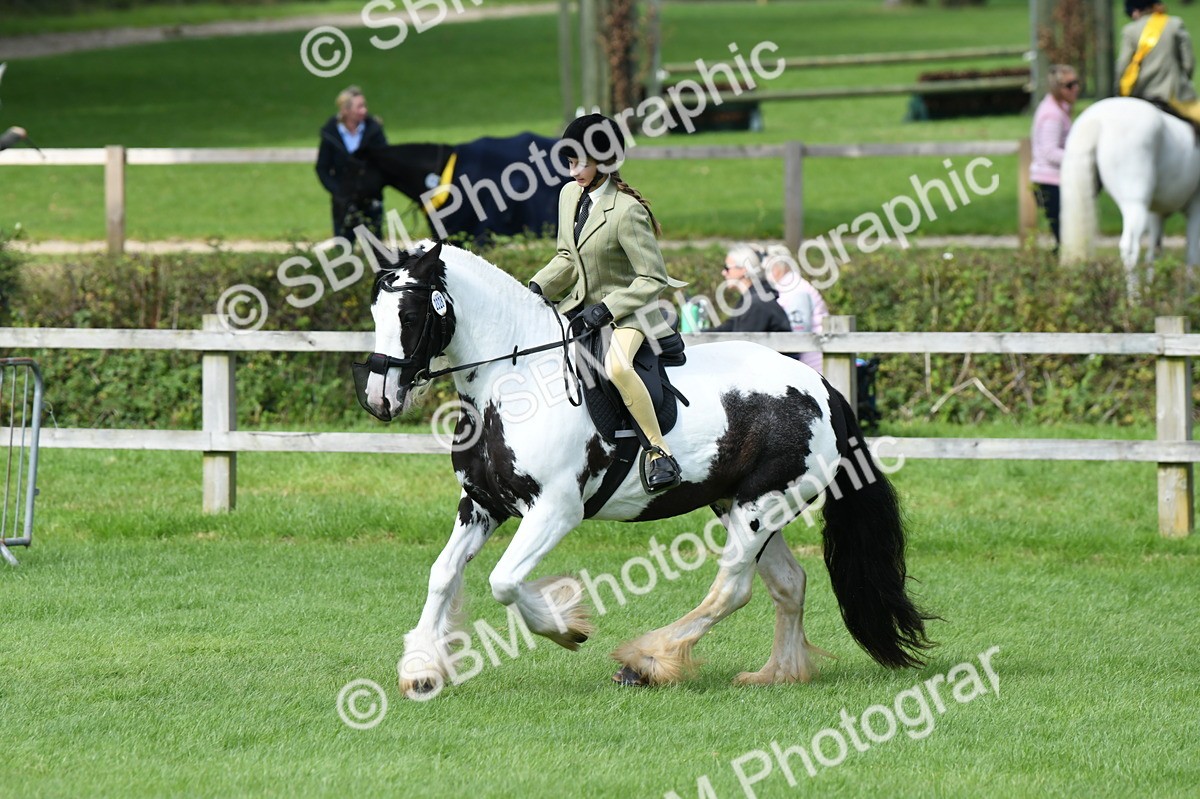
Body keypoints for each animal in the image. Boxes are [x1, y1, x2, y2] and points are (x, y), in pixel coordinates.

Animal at [355, 241, 934, 696]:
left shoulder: (554, 511)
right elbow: (442, 574)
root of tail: (824, 390)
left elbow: (505, 581)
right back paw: (777, 674)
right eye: (374, 314)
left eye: (410, 316)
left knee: (732, 587)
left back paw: (647, 661)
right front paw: (422, 670)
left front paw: (566, 626)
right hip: (742, 503)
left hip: (761, 506)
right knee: (788, 583)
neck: (516, 382)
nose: (379, 400)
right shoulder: (481, 505)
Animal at [1060, 97, 1200, 296]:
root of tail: (1098, 119)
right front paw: (1190, 296)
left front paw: (1153, 290)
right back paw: (1134, 300)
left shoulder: (1156, 213)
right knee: (1130, 248)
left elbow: (1154, 253)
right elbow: (1193, 254)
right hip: (1135, 205)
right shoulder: (1195, 207)